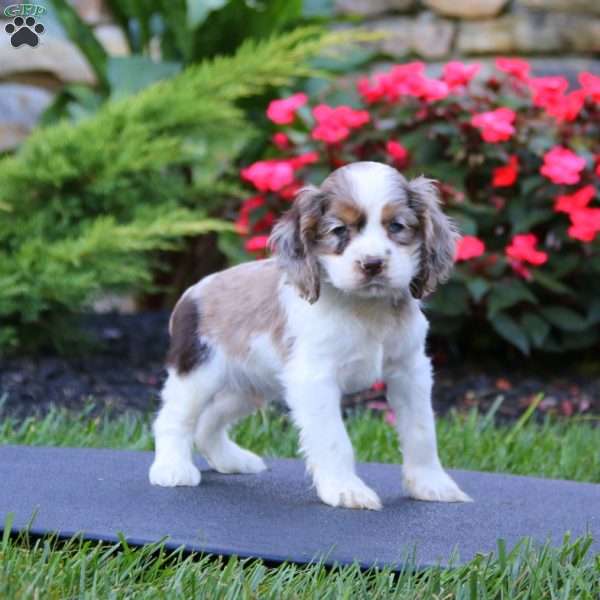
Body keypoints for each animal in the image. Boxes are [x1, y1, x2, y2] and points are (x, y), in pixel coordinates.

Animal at [148, 162, 472, 508]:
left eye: (397, 226)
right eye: (339, 230)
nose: (372, 264)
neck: (364, 307)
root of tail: (190, 293)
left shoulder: (410, 371)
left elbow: (422, 431)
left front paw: (431, 485)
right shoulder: (314, 379)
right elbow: (333, 438)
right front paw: (346, 489)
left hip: (248, 386)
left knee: (209, 421)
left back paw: (232, 460)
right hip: (199, 374)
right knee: (174, 418)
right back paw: (172, 467)